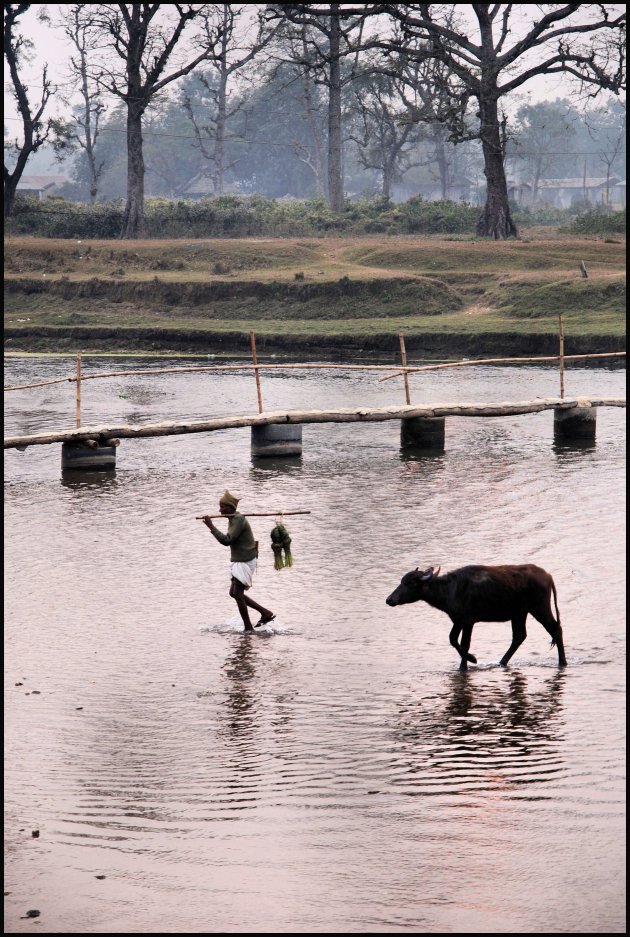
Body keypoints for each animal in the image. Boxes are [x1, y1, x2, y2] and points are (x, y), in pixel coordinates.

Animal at [386, 564, 568, 672]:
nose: (390, 599)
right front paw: (467, 662)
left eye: (410, 583)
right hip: (519, 613)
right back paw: (501, 662)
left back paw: (562, 662)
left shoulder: (468, 621)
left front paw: (470, 661)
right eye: (401, 581)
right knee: (519, 636)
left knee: (556, 629)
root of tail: (549, 576)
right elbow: (453, 639)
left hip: (540, 608)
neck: (449, 590)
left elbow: (464, 644)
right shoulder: (457, 620)